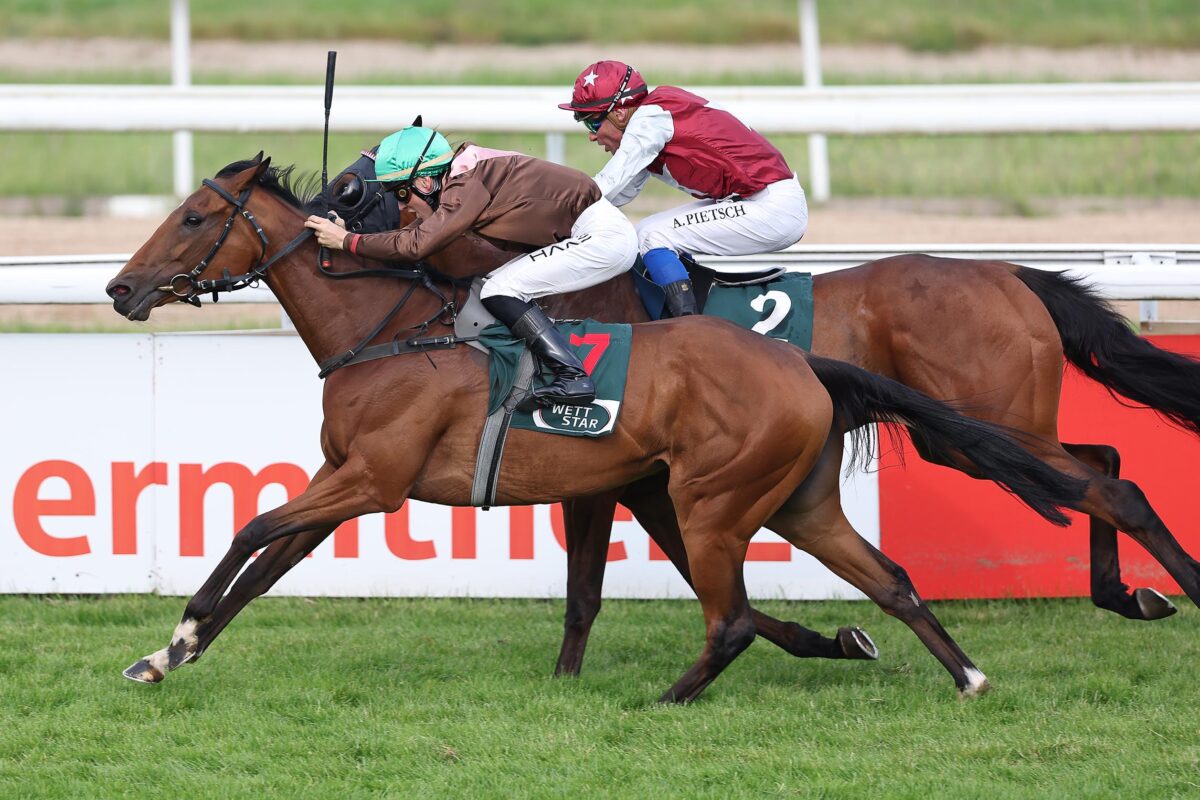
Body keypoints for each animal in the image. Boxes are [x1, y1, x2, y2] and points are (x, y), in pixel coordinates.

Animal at [106, 155, 1086, 700]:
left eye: (194, 217)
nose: (119, 287)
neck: (392, 329)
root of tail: (802, 364)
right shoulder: (347, 483)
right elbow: (269, 563)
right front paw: (165, 655)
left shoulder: (373, 482)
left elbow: (253, 528)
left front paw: (177, 636)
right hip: (795, 502)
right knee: (891, 581)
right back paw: (964, 676)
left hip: (715, 500)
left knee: (731, 615)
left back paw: (669, 699)